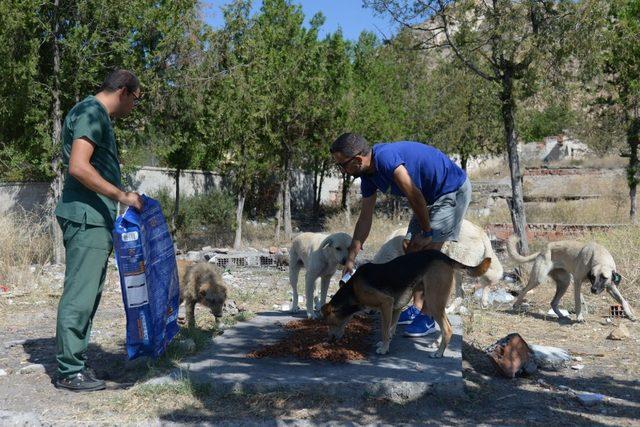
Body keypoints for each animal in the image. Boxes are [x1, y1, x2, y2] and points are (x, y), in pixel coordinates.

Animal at [322, 251, 492, 358]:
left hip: (433, 301)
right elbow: (390, 328)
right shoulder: (396, 307)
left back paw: (439, 353)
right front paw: (386, 343)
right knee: (447, 325)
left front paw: (384, 349)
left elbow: (384, 330)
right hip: (437, 300)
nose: (330, 339)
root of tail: (445, 257)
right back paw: (436, 344)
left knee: (448, 328)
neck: (352, 290)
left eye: (330, 323)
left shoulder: (386, 303)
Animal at [508, 236, 636, 322]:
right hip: (538, 279)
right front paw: (579, 317)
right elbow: (578, 302)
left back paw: (561, 316)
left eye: (604, 278)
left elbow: (623, 300)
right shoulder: (577, 282)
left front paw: (630, 314)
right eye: (593, 277)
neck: (600, 258)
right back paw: (515, 306)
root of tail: (543, 249)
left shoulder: (610, 287)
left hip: (565, 283)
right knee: (524, 290)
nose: (593, 290)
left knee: (553, 302)